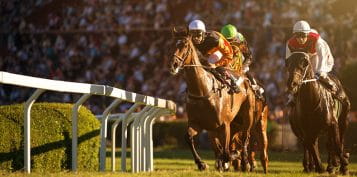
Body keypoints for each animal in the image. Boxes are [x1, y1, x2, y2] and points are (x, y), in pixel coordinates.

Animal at [168, 28, 254, 171]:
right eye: (173, 45)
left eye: (185, 45)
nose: (173, 65)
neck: (202, 89)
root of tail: (244, 77)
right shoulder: (197, 123)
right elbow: (188, 137)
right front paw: (201, 163)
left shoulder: (224, 125)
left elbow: (226, 152)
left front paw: (232, 156)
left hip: (247, 116)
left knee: (245, 137)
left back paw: (245, 162)